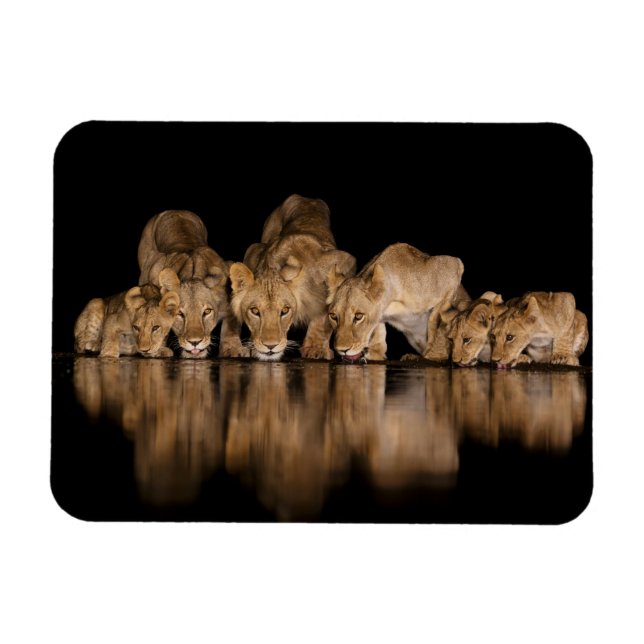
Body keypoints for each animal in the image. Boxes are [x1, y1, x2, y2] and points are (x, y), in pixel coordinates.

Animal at [138, 209, 246, 359]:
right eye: (179, 313)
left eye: (207, 312)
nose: (195, 342)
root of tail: (174, 210)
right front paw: (158, 349)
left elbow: (231, 325)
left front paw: (232, 348)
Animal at [229, 194, 357, 361]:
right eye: (255, 311)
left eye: (285, 311)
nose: (270, 346)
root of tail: (306, 198)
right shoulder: (254, 251)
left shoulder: (345, 263)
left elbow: (324, 316)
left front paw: (315, 348)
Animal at [326, 242, 469, 362]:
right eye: (333, 316)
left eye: (358, 316)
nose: (341, 350)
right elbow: (378, 328)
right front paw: (376, 353)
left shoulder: (453, 266)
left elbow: (437, 320)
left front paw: (433, 355)